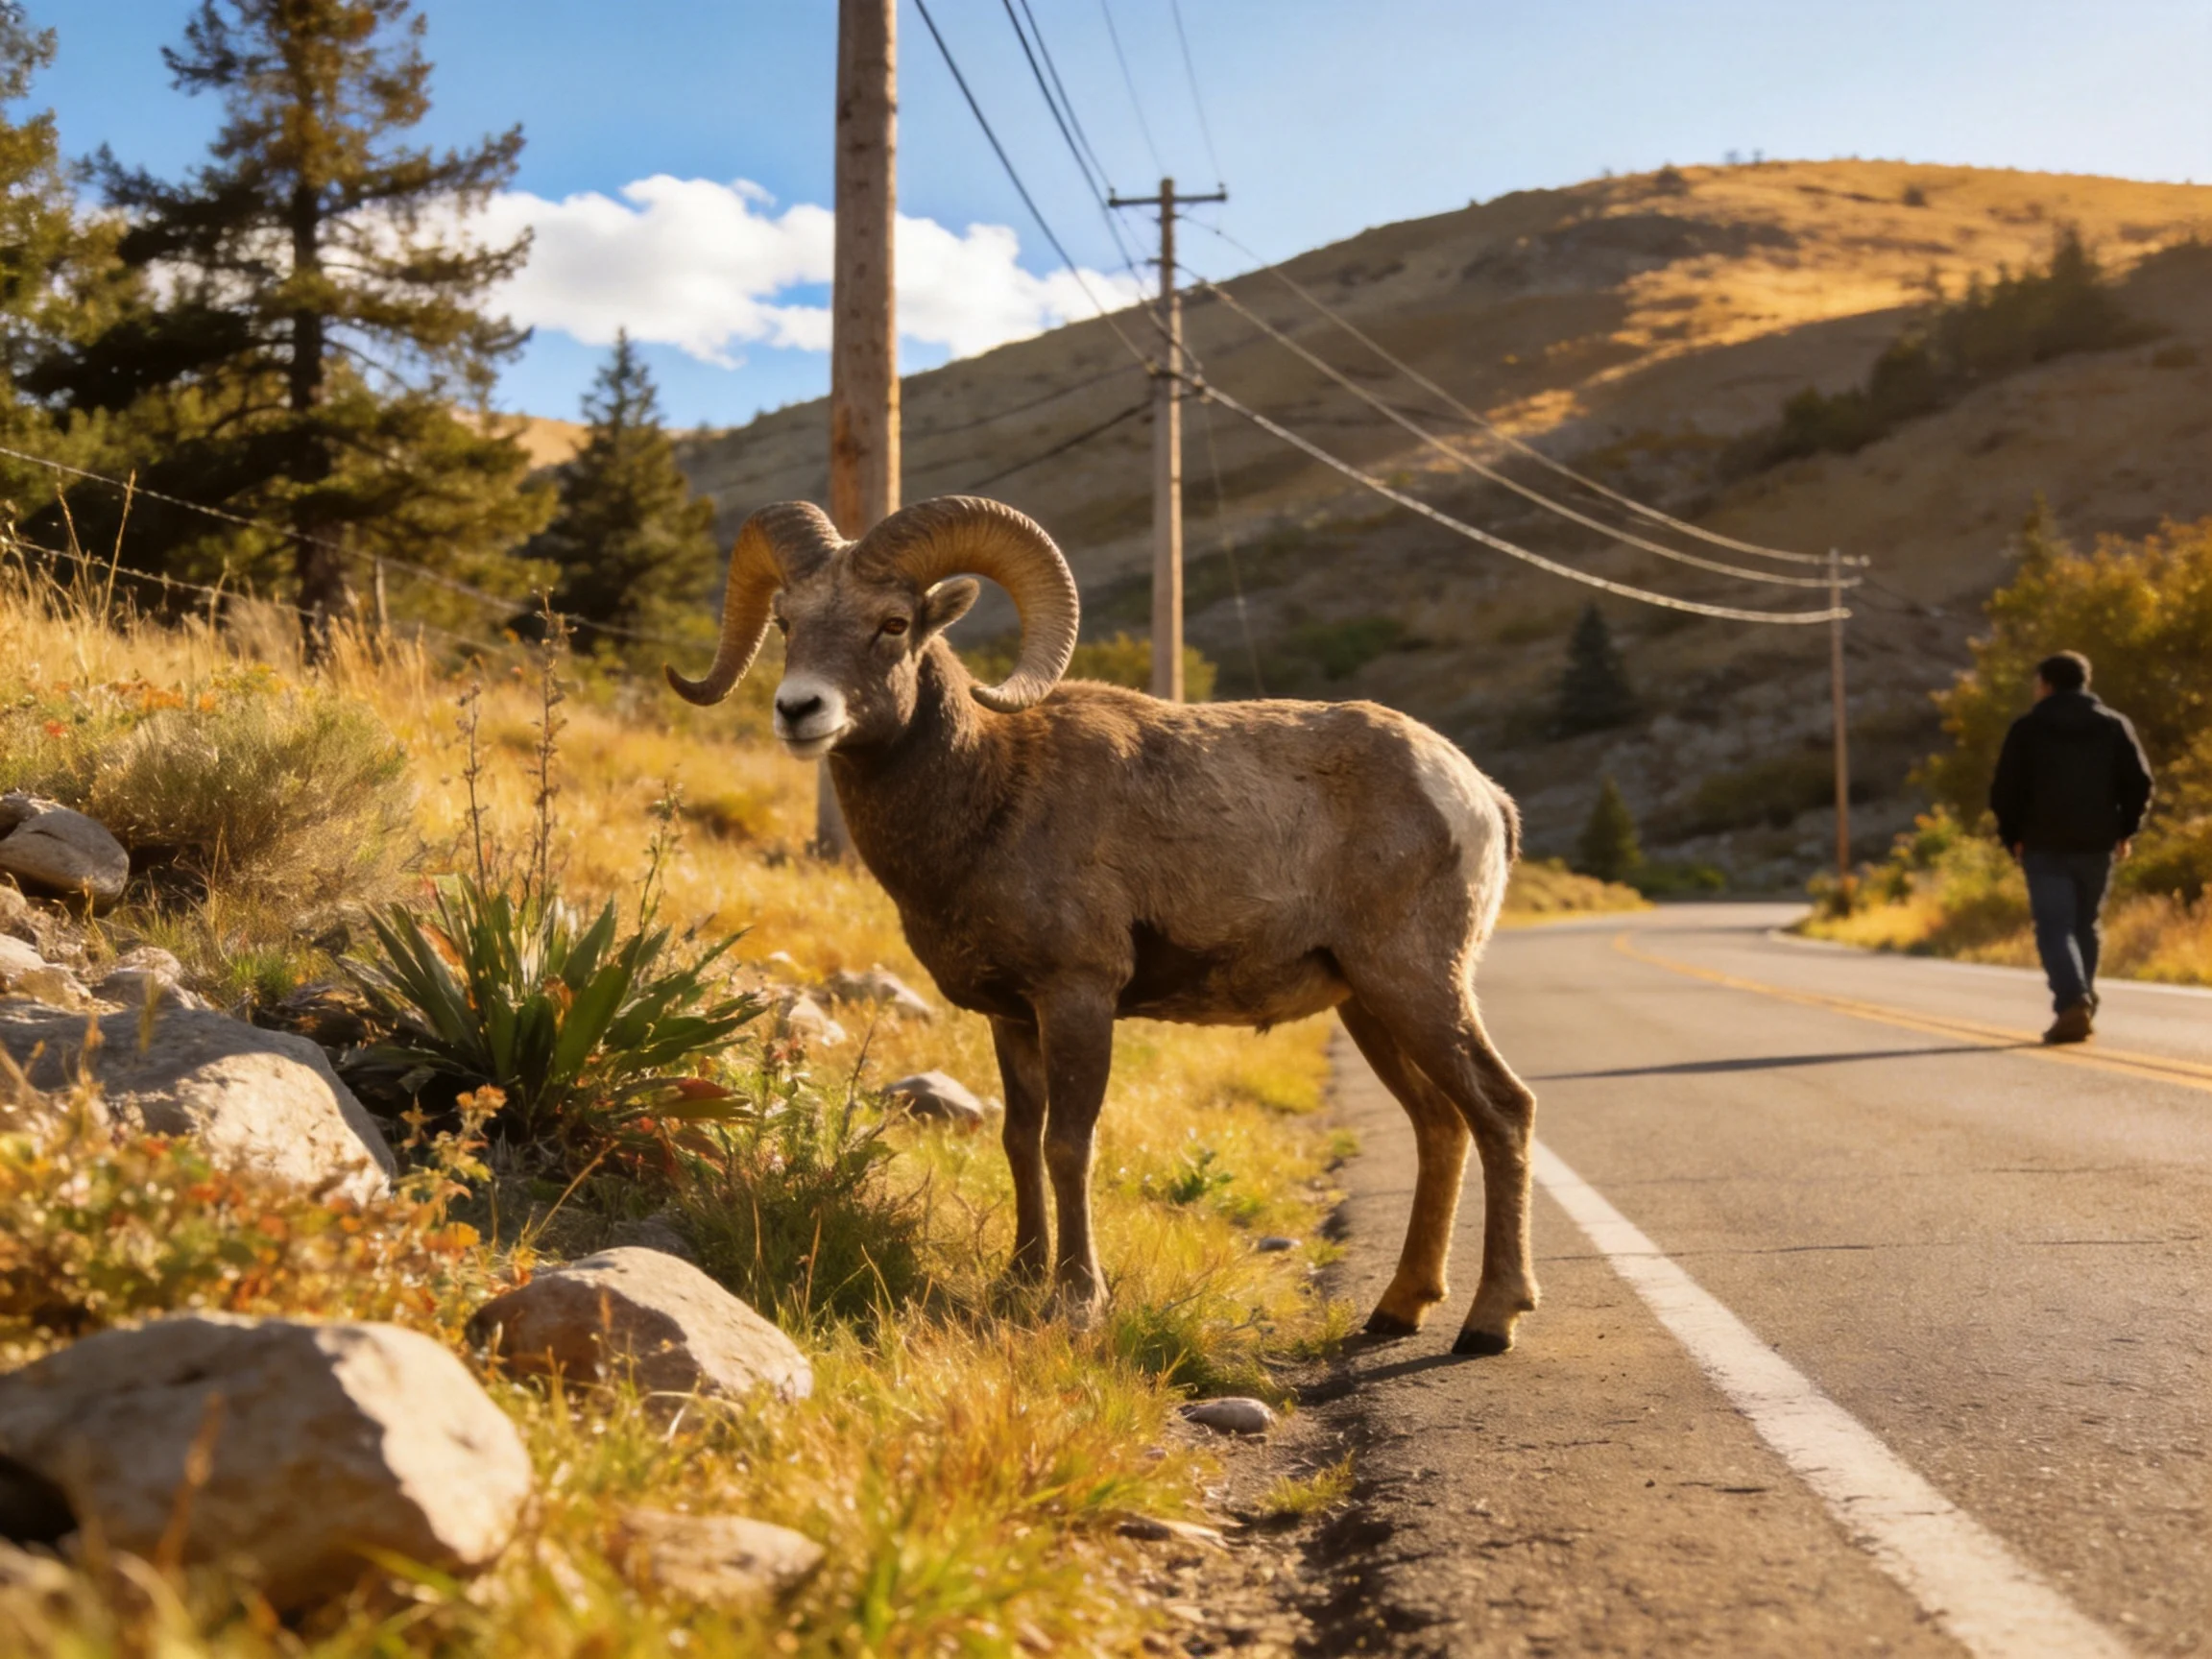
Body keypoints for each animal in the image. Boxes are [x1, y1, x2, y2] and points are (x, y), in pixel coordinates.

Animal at [667, 495, 1539, 1354]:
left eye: (893, 622)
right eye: (786, 621)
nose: (799, 710)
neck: (989, 792)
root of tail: (1478, 795)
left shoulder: (1078, 998)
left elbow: (1069, 1144)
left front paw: (1077, 1302)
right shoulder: (1013, 1018)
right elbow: (1020, 1141)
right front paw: (1019, 1282)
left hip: (1416, 984)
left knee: (1502, 1110)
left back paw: (1488, 1322)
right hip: (1368, 1006)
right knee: (1441, 1124)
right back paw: (1398, 1309)